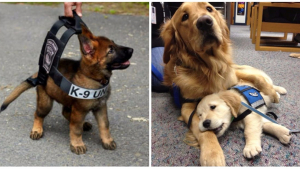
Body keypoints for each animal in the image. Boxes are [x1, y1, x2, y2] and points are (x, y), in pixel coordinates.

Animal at [0, 24, 134, 154]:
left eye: (115, 44)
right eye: (111, 50)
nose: (132, 49)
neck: (93, 78)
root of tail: (40, 73)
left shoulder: (101, 107)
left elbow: (104, 125)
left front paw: (107, 140)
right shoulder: (79, 110)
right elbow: (76, 129)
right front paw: (77, 144)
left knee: (66, 113)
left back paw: (82, 124)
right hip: (46, 103)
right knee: (38, 114)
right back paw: (37, 129)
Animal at [161, 1, 280, 166]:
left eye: (209, 8)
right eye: (184, 16)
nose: (205, 22)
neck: (209, 68)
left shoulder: (231, 79)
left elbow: (255, 79)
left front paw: (272, 93)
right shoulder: (188, 106)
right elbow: (204, 131)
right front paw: (212, 154)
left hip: (237, 69)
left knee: (257, 76)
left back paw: (277, 91)